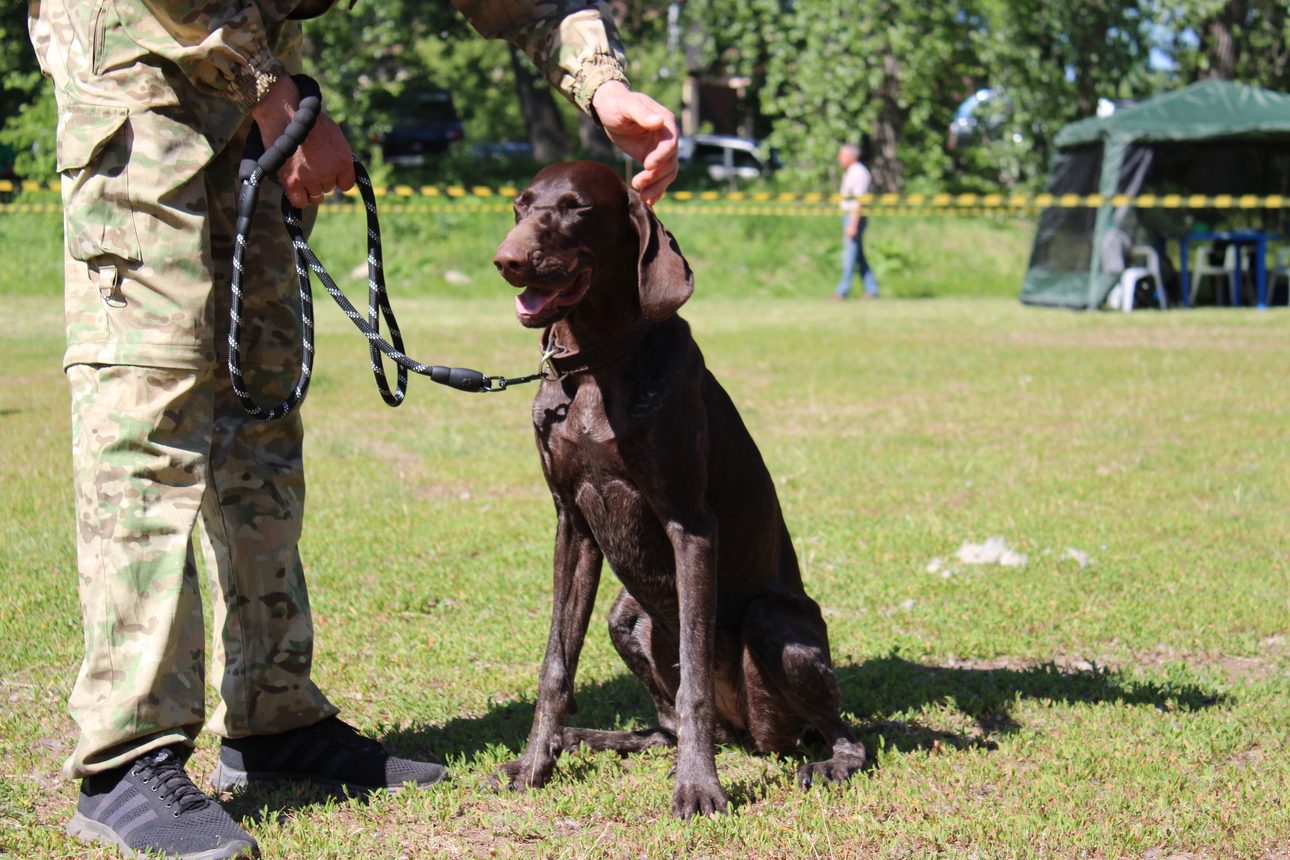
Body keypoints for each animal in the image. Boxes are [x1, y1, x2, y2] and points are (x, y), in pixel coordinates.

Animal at [492, 163, 866, 820]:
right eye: (521, 204)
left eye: (577, 208)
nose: (506, 260)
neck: (596, 366)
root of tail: (747, 732)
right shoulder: (573, 526)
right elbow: (555, 665)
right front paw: (536, 762)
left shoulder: (690, 526)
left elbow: (693, 678)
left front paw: (698, 786)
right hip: (627, 616)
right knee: (667, 724)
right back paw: (590, 738)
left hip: (775, 621)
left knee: (842, 736)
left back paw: (825, 763)